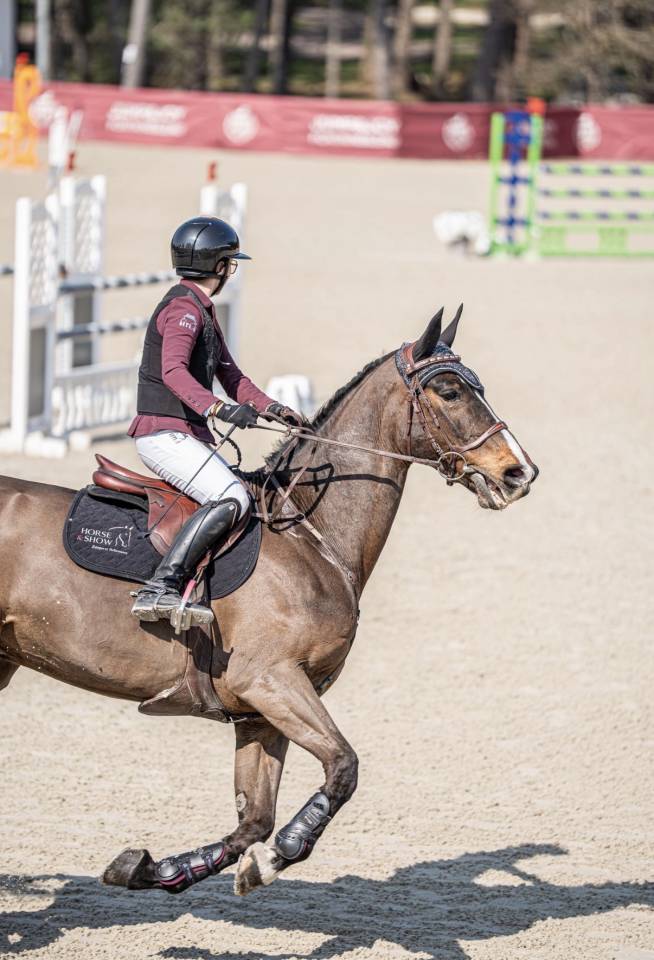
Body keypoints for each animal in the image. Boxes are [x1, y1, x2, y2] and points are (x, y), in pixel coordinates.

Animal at [0, 307, 537, 897]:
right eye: (449, 391)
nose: (519, 473)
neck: (310, 534)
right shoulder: (269, 679)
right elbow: (343, 767)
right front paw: (279, 854)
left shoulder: (259, 712)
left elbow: (253, 819)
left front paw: (157, 868)